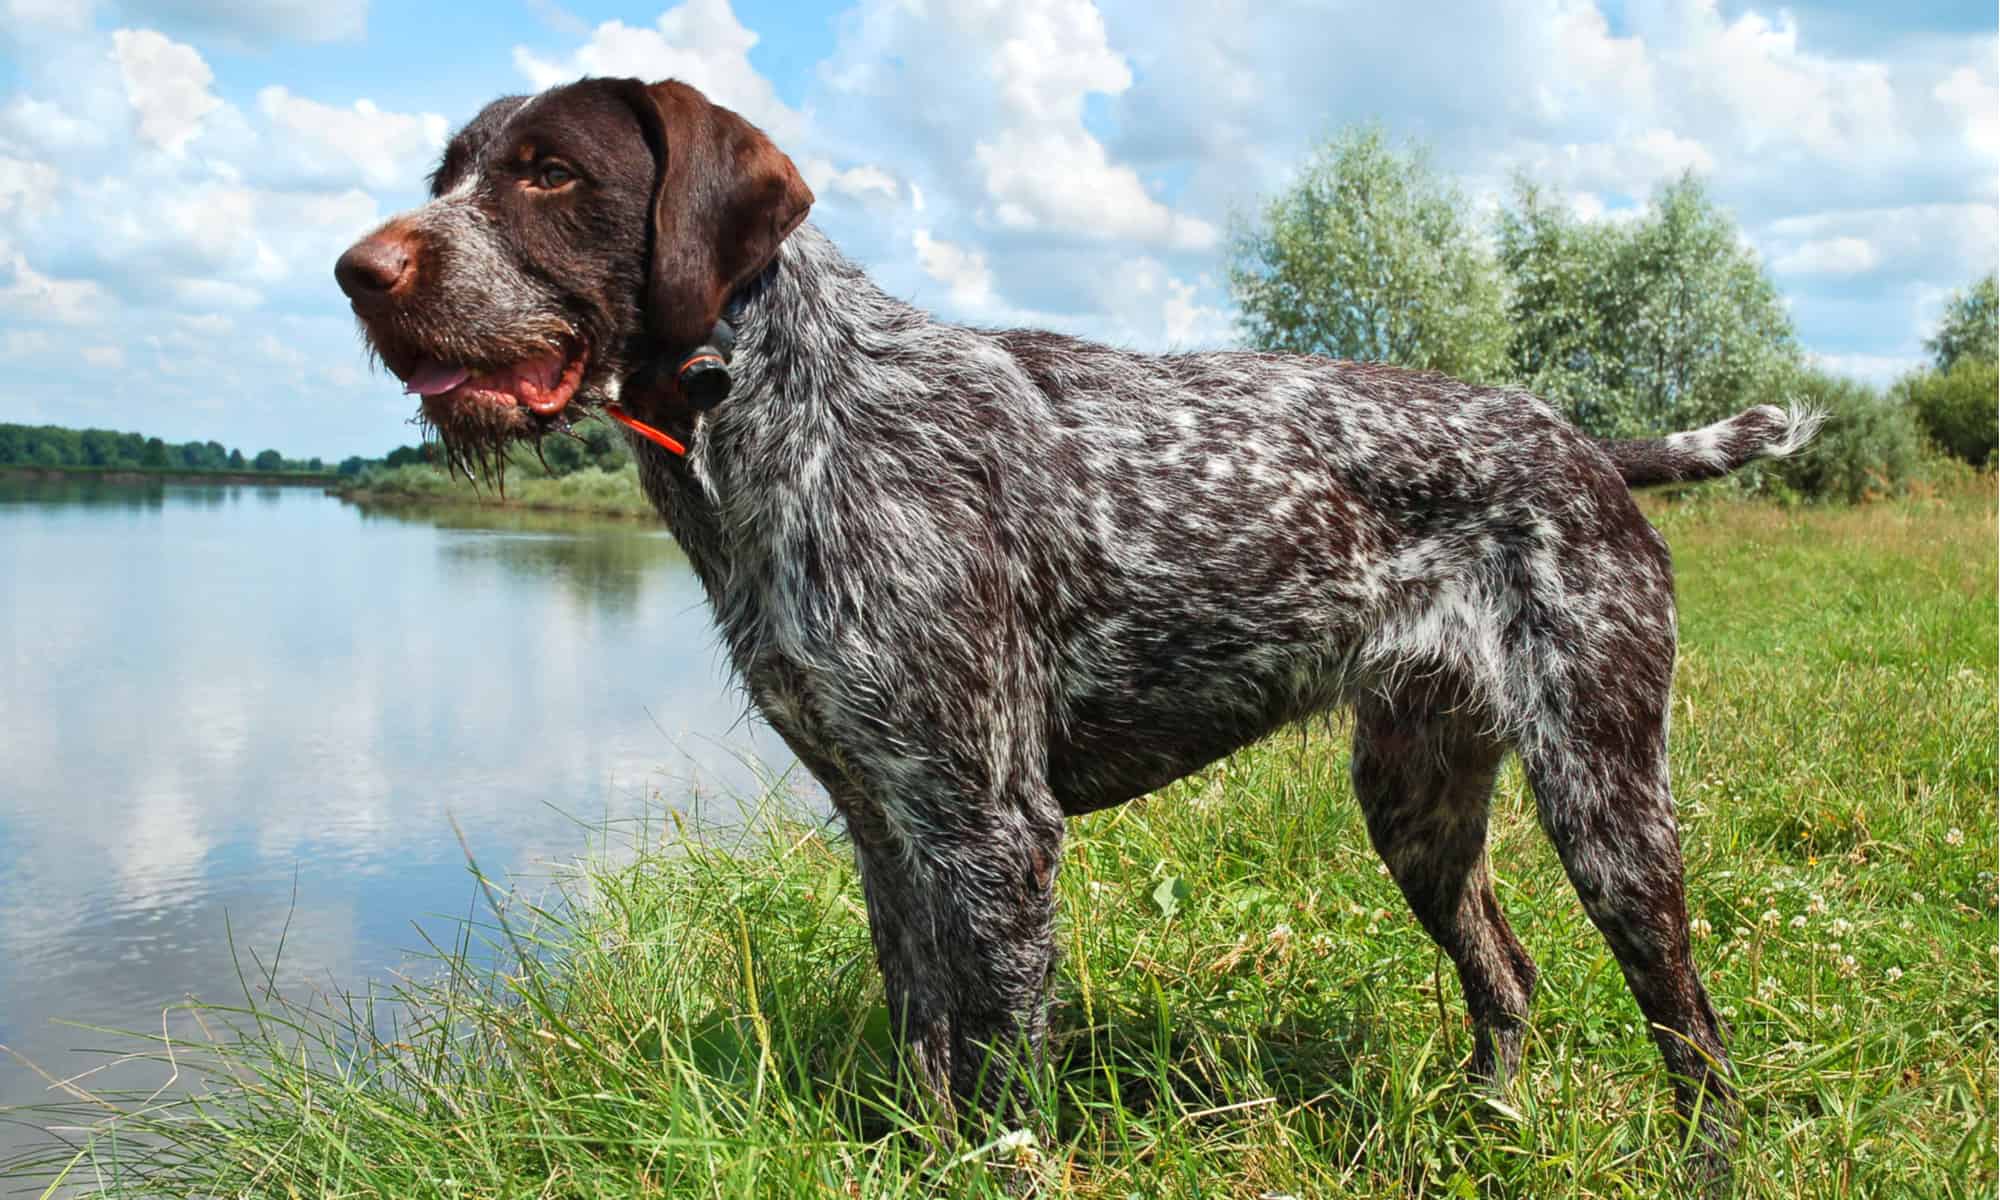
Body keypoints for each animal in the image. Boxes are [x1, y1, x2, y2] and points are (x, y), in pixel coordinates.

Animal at [340, 77, 1816, 1184]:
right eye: (448, 171)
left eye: (548, 174)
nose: (359, 271)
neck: (777, 409)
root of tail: (1585, 446)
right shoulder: (887, 827)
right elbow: (923, 1049)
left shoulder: (994, 832)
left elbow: (1000, 1086)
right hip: (1416, 801)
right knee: (1506, 977)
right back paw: (1491, 1127)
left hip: (1606, 801)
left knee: (1693, 1032)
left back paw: (1701, 1159)